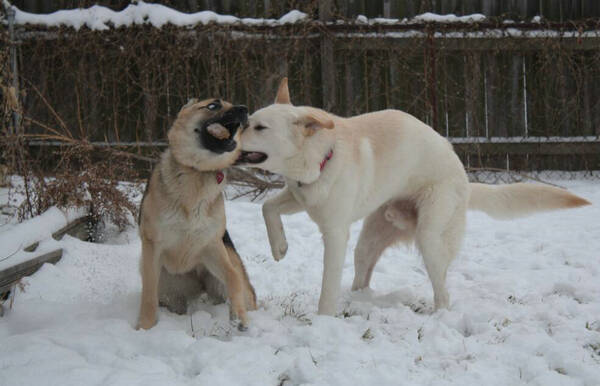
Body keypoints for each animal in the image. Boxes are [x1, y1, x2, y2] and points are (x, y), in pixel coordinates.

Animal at [136, 98, 255, 330]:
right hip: (168, 286)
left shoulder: (211, 245)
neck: (197, 171)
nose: (244, 110)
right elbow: (148, 294)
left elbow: (233, 277)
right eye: (213, 105)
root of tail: (199, 289)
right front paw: (145, 327)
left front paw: (239, 316)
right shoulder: (153, 247)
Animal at [236, 78, 592, 316]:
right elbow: (267, 207)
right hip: (368, 242)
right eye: (248, 122)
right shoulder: (299, 196)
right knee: (364, 273)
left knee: (443, 292)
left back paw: (438, 317)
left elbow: (327, 286)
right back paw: (362, 294)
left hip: (430, 239)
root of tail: (464, 178)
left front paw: (323, 320)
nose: (233, 132)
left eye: (260, 127)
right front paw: (279, 247)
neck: (321, 157)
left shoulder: (335, 234)